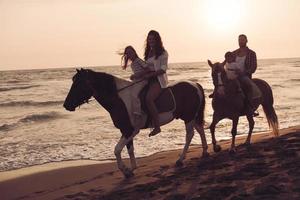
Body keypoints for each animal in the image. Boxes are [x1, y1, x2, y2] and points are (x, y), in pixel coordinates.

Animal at [63, 69, 209, 178]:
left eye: (78, 84)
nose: (66, 105)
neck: (120, 99)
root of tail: (195, 84)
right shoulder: (125, 130)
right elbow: (129, 149)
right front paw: (132, 169)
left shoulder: (130, 130)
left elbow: (117, 149)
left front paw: (125, 170)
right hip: (192, 116)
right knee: (200, 129)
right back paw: (205, 151)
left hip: (189, 117)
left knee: (189, 135)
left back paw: (180, 159)